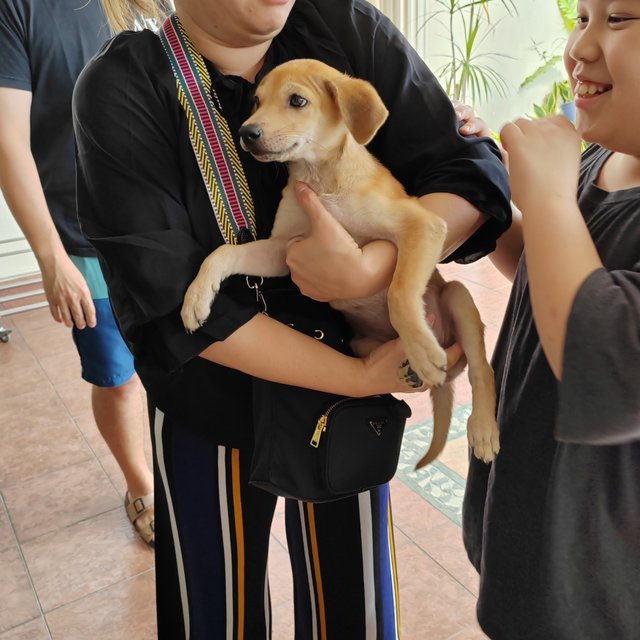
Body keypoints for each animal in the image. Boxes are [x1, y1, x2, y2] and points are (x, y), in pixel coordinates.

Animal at [180, 58, 500, 464]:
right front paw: (196, 297)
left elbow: (398, 293)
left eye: (297, 100)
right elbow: (223, 252)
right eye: (256, 101)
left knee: (481, 369)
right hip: (362, 343)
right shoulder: (284, 249)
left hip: (459, 298)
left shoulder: (422, 224)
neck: (322, 180)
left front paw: (423, 350)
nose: (246, 133)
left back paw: (482, 426)